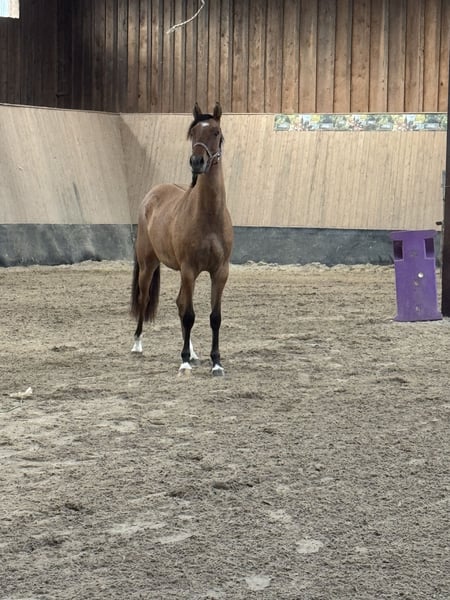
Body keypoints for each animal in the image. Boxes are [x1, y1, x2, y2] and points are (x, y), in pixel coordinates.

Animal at [130, 102, 233, 376]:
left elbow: (214, 317)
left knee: (179, 303)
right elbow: (189, 315)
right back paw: (137, 344)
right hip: (148, 264)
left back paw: (194, 352)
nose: (197, 161)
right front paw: (184, 361)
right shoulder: (189, 269)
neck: (209, 216)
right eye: (193, 132)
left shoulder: (220, 272)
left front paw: (216, 363)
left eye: (216, 132)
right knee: (144, 299)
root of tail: (152, 194)